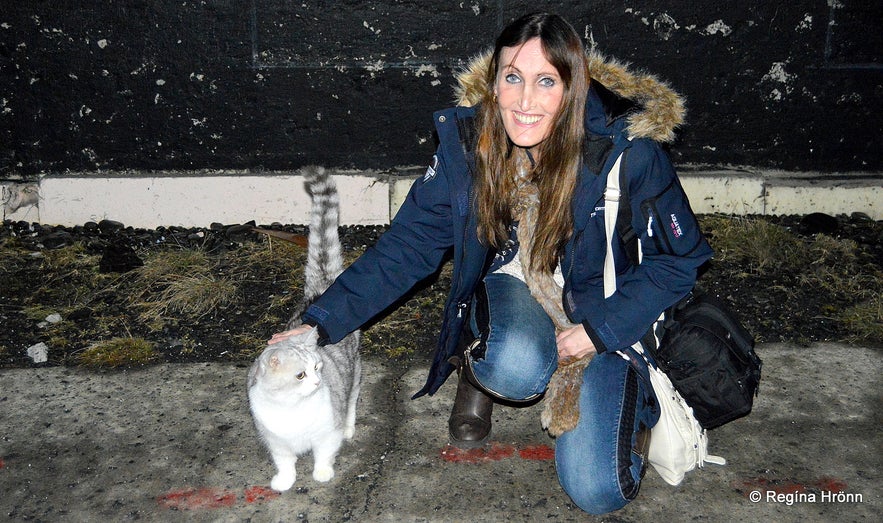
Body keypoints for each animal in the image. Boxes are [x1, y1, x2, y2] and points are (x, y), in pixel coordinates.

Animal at [247, 166, 360, 494]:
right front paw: (284, 480)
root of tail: (319, 293)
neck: (291, 410)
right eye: (300, 375)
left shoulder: (326, 432)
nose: (317, 382)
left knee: (351, 402)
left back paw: (349, 426)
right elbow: (284, 461)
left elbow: (324, 452)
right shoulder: (276, 441)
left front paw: (322, 472)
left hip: (355, 375)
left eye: (318, 368)